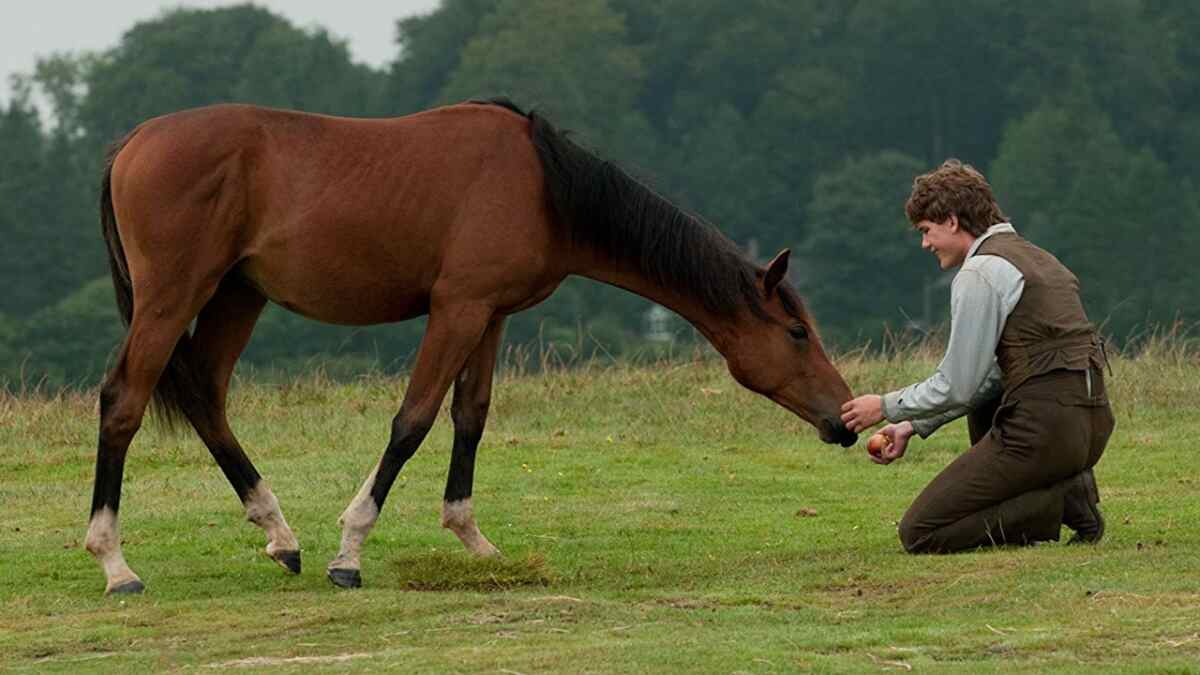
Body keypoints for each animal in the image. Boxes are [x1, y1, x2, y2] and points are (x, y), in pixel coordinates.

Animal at [88, 98, 857, 595]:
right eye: (797, 333)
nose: (845, 418)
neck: (542, 186)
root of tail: (131, 141)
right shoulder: (456, 310)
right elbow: (413, 421)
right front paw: (351, 549)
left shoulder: (490, 315)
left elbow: (470, 417)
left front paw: (471, 537)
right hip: (175, 296)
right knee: (124, 401)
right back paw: (115, 561)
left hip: (236, 295)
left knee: (208, 401)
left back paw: (279, 534)